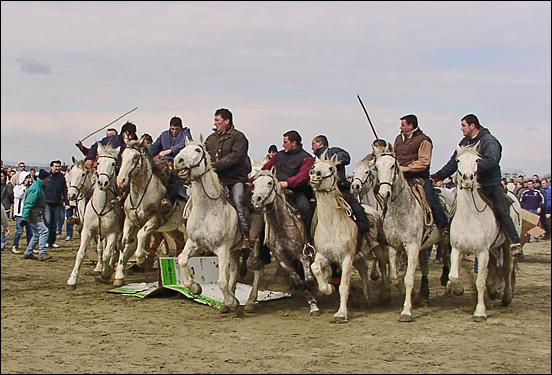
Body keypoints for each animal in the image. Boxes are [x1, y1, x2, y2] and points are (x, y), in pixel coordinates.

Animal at [67, 144, 124, 290]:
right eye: (98, 163)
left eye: (113, 164)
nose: (102, 183)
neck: (101, 206)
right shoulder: (88, 231)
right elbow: (82, 253)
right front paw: (72, 280)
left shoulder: (113, 233)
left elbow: (107, 253)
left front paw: (105, 272)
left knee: (117, 249)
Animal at [114, 139, 188, 288]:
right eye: (123, 156)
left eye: (135, 157)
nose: (120, 181)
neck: (141, 195)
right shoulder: (129, 221)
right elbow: (124, 243)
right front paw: (119, 275)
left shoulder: (155, 220)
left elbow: (141, 234)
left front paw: (141, 258)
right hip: (171, 227)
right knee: (180, 240)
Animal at [174, 138, 245, 314]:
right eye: (183, 148)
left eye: (198, 150)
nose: (178, 161)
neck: (208, 209)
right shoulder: (194, 243)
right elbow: (182, 259)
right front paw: (195, 288)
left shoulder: (222, 249)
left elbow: (221, 281)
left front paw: (230, 302)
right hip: (234, 251)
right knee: (234, 271)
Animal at [370, 141, 452, 324]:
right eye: (376, 167)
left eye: (393, 166)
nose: (384, 193)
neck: (401, 210)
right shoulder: (394, 247)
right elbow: (394, 276)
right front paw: (413, 295)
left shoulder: (412, 246)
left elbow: (408, 279)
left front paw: (406, 311)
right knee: (428, 265)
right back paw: (425, 294)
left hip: (447, 238)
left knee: (448, 256)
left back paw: (450, 283)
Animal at [446, 144, 520, 324]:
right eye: (458, 160)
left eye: (477, 160)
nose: (467, 179)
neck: (469, 216)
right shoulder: (457, 249)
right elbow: (454, 275)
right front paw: (457, 289)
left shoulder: (482, 252)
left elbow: (479, 281)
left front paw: (480, 312)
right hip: (493, 248)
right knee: (494, 264)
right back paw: (492, 290)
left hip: (506, 245)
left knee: (507, 268)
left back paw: (506, 297)